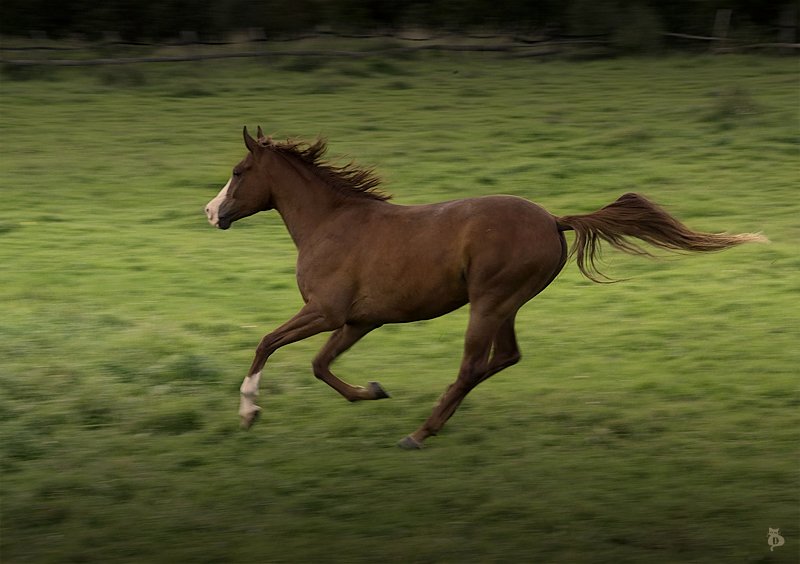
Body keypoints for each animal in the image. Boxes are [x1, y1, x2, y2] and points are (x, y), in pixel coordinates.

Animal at [205, 128, 764, 450]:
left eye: (238, 171)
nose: (212, 213)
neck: (331, 223)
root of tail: (554, 220)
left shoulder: (326, 311)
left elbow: (267, 343)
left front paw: (249, 413)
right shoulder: (361, 320)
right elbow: (321, 366)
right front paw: (373, 390)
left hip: (489, 302)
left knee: (474, 364)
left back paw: (419, 433)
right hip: (505, 304)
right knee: (505, 357)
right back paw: (430, 421)